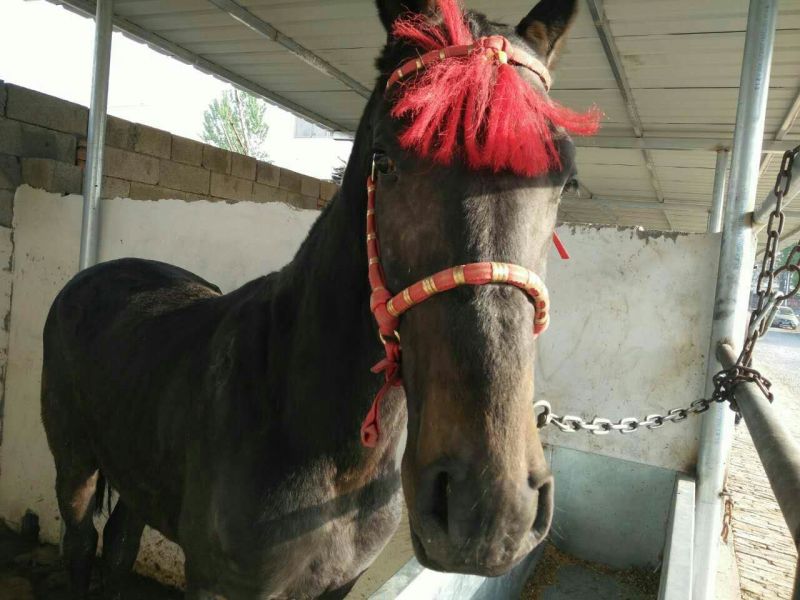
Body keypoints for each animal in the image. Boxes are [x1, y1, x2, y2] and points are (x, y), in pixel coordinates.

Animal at [40, 0, 597, 597]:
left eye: (565, 180)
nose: (489, 511)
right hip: (75, 463)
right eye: (385, 160)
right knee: (81, 541)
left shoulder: (340, 583)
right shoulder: (216, 582)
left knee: (120, 541)